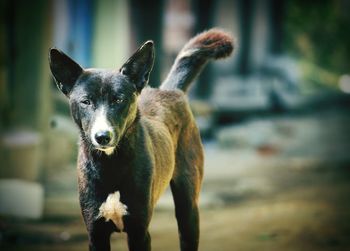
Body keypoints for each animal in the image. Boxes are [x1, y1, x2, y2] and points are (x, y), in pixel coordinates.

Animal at [47, 28, 234, 250]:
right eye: (86, 101)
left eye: (118, 99)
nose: (102, 137)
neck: (111, 165)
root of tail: (170, 89)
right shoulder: (96, 234)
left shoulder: (139, 233)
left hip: (188, 208)